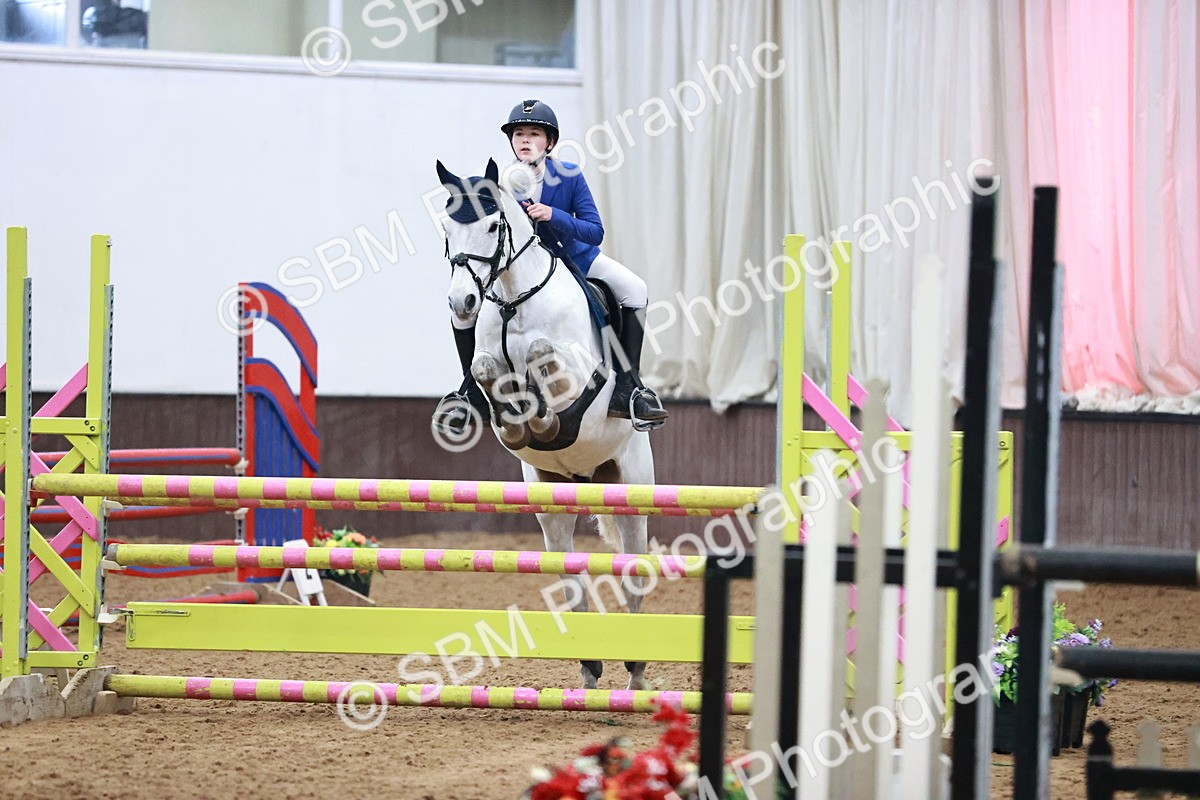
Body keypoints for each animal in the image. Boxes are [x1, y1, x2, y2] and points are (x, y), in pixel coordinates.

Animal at [436, 158, 654, 691]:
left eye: (492, 226)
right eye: (446, 230)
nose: (462, 302)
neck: (516, 300)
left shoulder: (582, 375)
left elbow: (541, 355)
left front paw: (543, 416)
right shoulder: (488, 359)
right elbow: (485, 369)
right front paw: (520, 424)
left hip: (632, 488)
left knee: (634, 572)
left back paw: (636, 676)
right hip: (552, 498)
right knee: (569, 576)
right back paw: (590, 671)